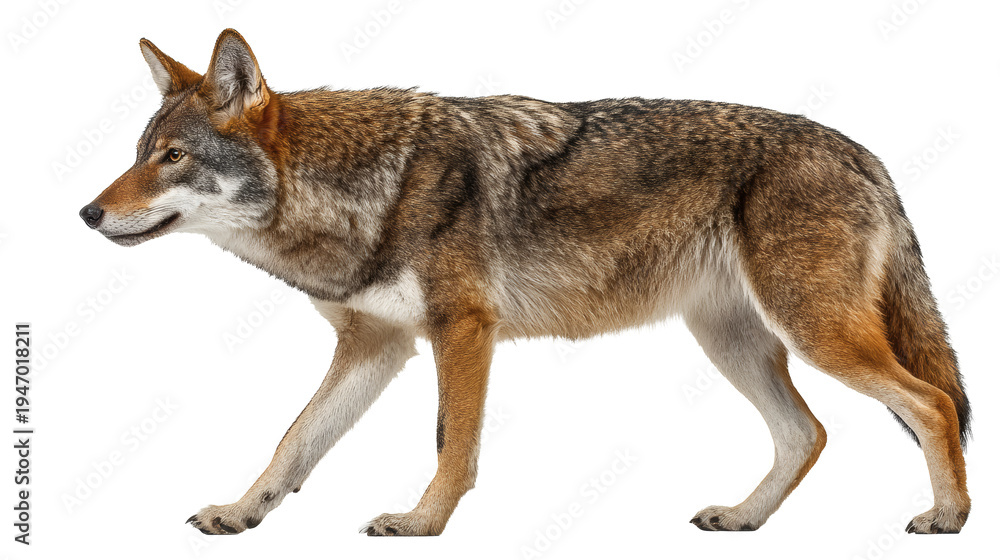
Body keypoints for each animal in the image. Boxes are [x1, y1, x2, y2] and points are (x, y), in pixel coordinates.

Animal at [80, 29, 970, 536]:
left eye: (173, 158)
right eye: (138, 153)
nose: (87, 212)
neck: (365, 190)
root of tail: (864, 151)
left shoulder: (462, 330)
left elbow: (452, 443)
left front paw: (422, 522)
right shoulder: (377, 346)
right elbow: (292, 443)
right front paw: (241, 513)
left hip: (812, 333)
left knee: (933, 403)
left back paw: (949, 517)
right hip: (736, 343)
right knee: (806, 433)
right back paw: (744, 518)